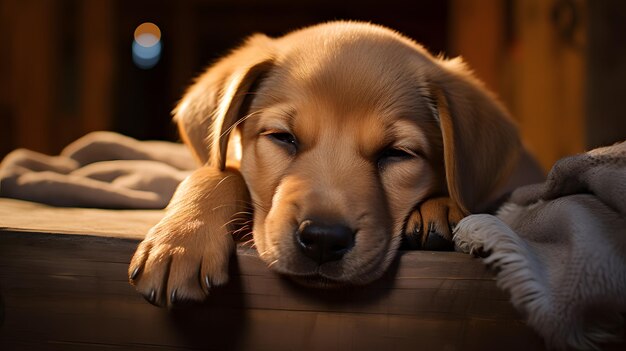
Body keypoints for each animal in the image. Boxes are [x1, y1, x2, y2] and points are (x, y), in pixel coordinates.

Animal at [127, 20, 540, 306]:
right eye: (282, 137)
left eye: (396, 153)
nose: (323, 240)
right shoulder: (224, 161)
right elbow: (216, 173)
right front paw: (181, 241)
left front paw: (441, 205)